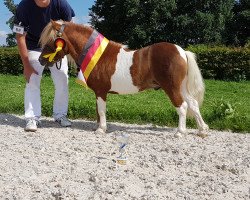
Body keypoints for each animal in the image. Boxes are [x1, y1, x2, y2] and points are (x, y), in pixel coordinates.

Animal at [38, 20, 208, 138]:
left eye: (51, 40)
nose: (41, 60)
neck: (97, 55)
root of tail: (181, 51)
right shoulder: (98, 92)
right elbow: (98, 110)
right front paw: (97, 127)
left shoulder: (101, 91)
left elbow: (101, 110)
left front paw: (101, 130)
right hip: (181, 87)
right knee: (193, 104)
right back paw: (202, 130)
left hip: (171, 87)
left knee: (183, 106)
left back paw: (180, 132)